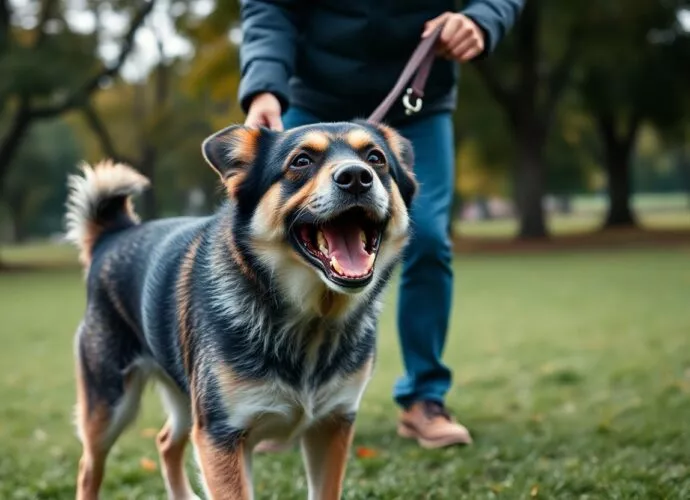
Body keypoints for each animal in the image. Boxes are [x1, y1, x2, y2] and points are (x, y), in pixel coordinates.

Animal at [67, 121, 416, 500]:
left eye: (376, 158)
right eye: (301, 161)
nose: (356, 176)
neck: (311, 320)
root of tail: (113, 234)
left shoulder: (332, 423)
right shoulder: (220, 435)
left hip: (185, 396)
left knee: (165, 442)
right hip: (110, 403)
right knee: (89, 467)